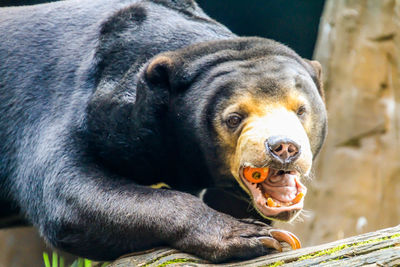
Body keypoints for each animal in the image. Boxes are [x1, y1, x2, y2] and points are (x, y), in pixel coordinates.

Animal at [0, 0, 324, 264]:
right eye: (234, 118)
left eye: (300, 110)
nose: (284, 147)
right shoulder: (66, 103)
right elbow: (66, 191)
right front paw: (253, 236)